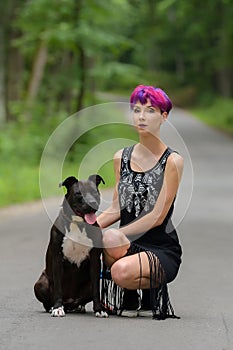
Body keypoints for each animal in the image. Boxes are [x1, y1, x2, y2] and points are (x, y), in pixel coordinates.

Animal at [33, 174, 108, 318]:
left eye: (95, 192)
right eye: (79, 193)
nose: (92, 203)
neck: (78, 224)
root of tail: (69, 301)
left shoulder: (95, 260)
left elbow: (96, 290)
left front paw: (99, 309)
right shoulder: (57, 259)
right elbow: (58, 288)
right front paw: (57, 308)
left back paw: (78, 306)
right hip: (40, 283)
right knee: (48, 301)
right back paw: (53, 307)